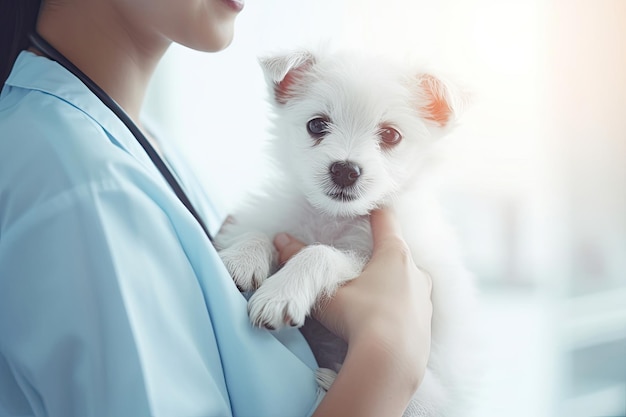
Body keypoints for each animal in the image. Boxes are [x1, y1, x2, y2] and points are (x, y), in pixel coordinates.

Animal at [213, 49, 472, 416]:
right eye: (317, 124)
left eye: (391, 135)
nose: (345, 170)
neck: (333, 217)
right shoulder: (282, 216)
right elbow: (262, 232)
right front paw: (240, 257)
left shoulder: (373, 260)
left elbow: (322, 252)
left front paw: (281, 292)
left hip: (431, 391)